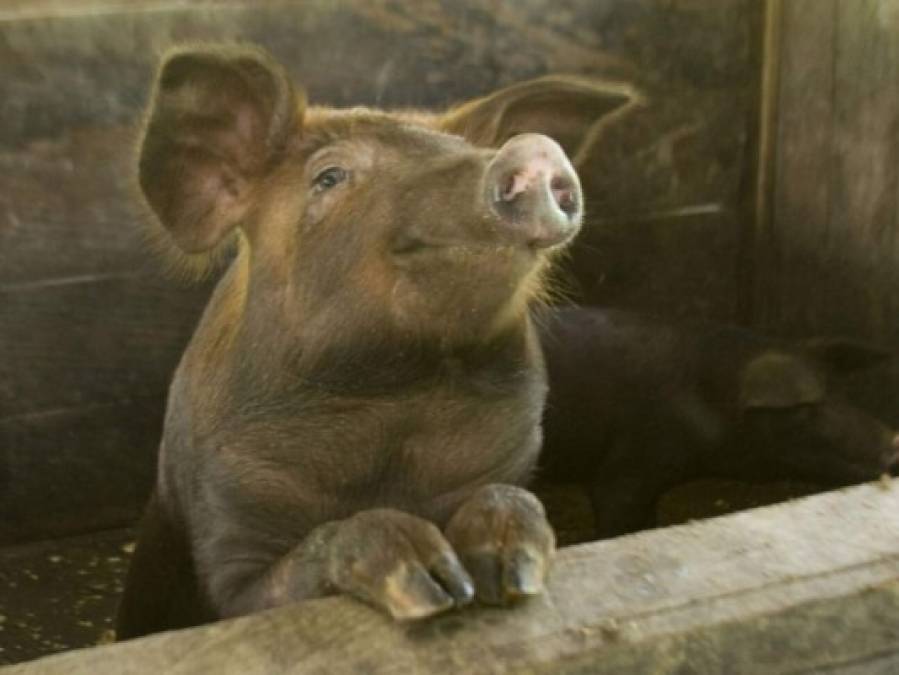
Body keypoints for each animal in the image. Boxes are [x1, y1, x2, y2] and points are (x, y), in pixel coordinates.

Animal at [116, 43, 640, 640]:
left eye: (470, 149)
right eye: (330, 177)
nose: (531, 148)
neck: (394, 397)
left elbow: (513, 495)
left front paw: (510, 570)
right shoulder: (225, 534)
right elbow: (272, 588)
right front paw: (430, 583)